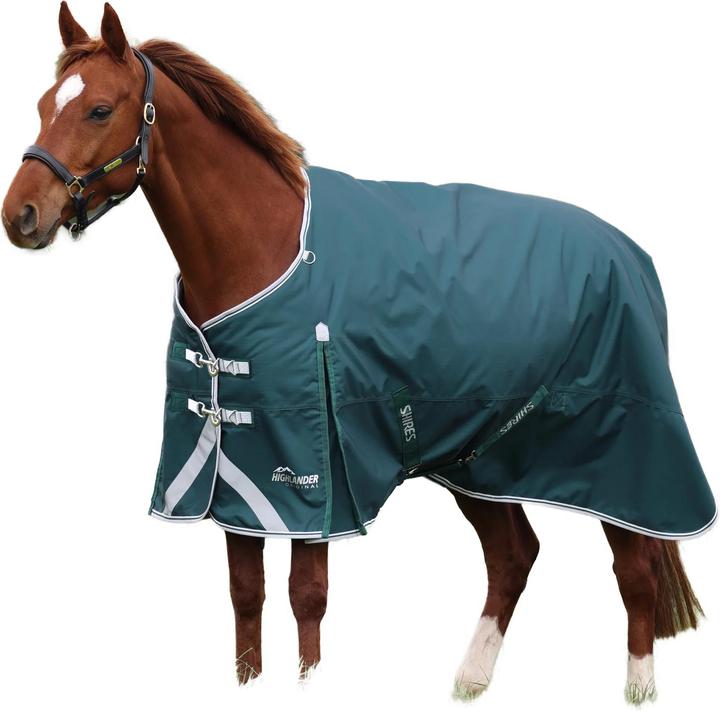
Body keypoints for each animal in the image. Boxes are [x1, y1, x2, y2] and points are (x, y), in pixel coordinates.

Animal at [2, 3, 712, 703]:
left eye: (99, 109)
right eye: (41, 104)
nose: (21, 216)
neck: (262, 251)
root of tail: (629, 253)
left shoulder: (315, 479)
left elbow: (306, 597)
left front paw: (310, 682)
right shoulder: (240, 475)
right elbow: (246, 595)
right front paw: (248, 682)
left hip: (621, 452)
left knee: (636, 565)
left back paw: (639, 685)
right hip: (481, 457)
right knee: (514, 556)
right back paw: (471, 678)